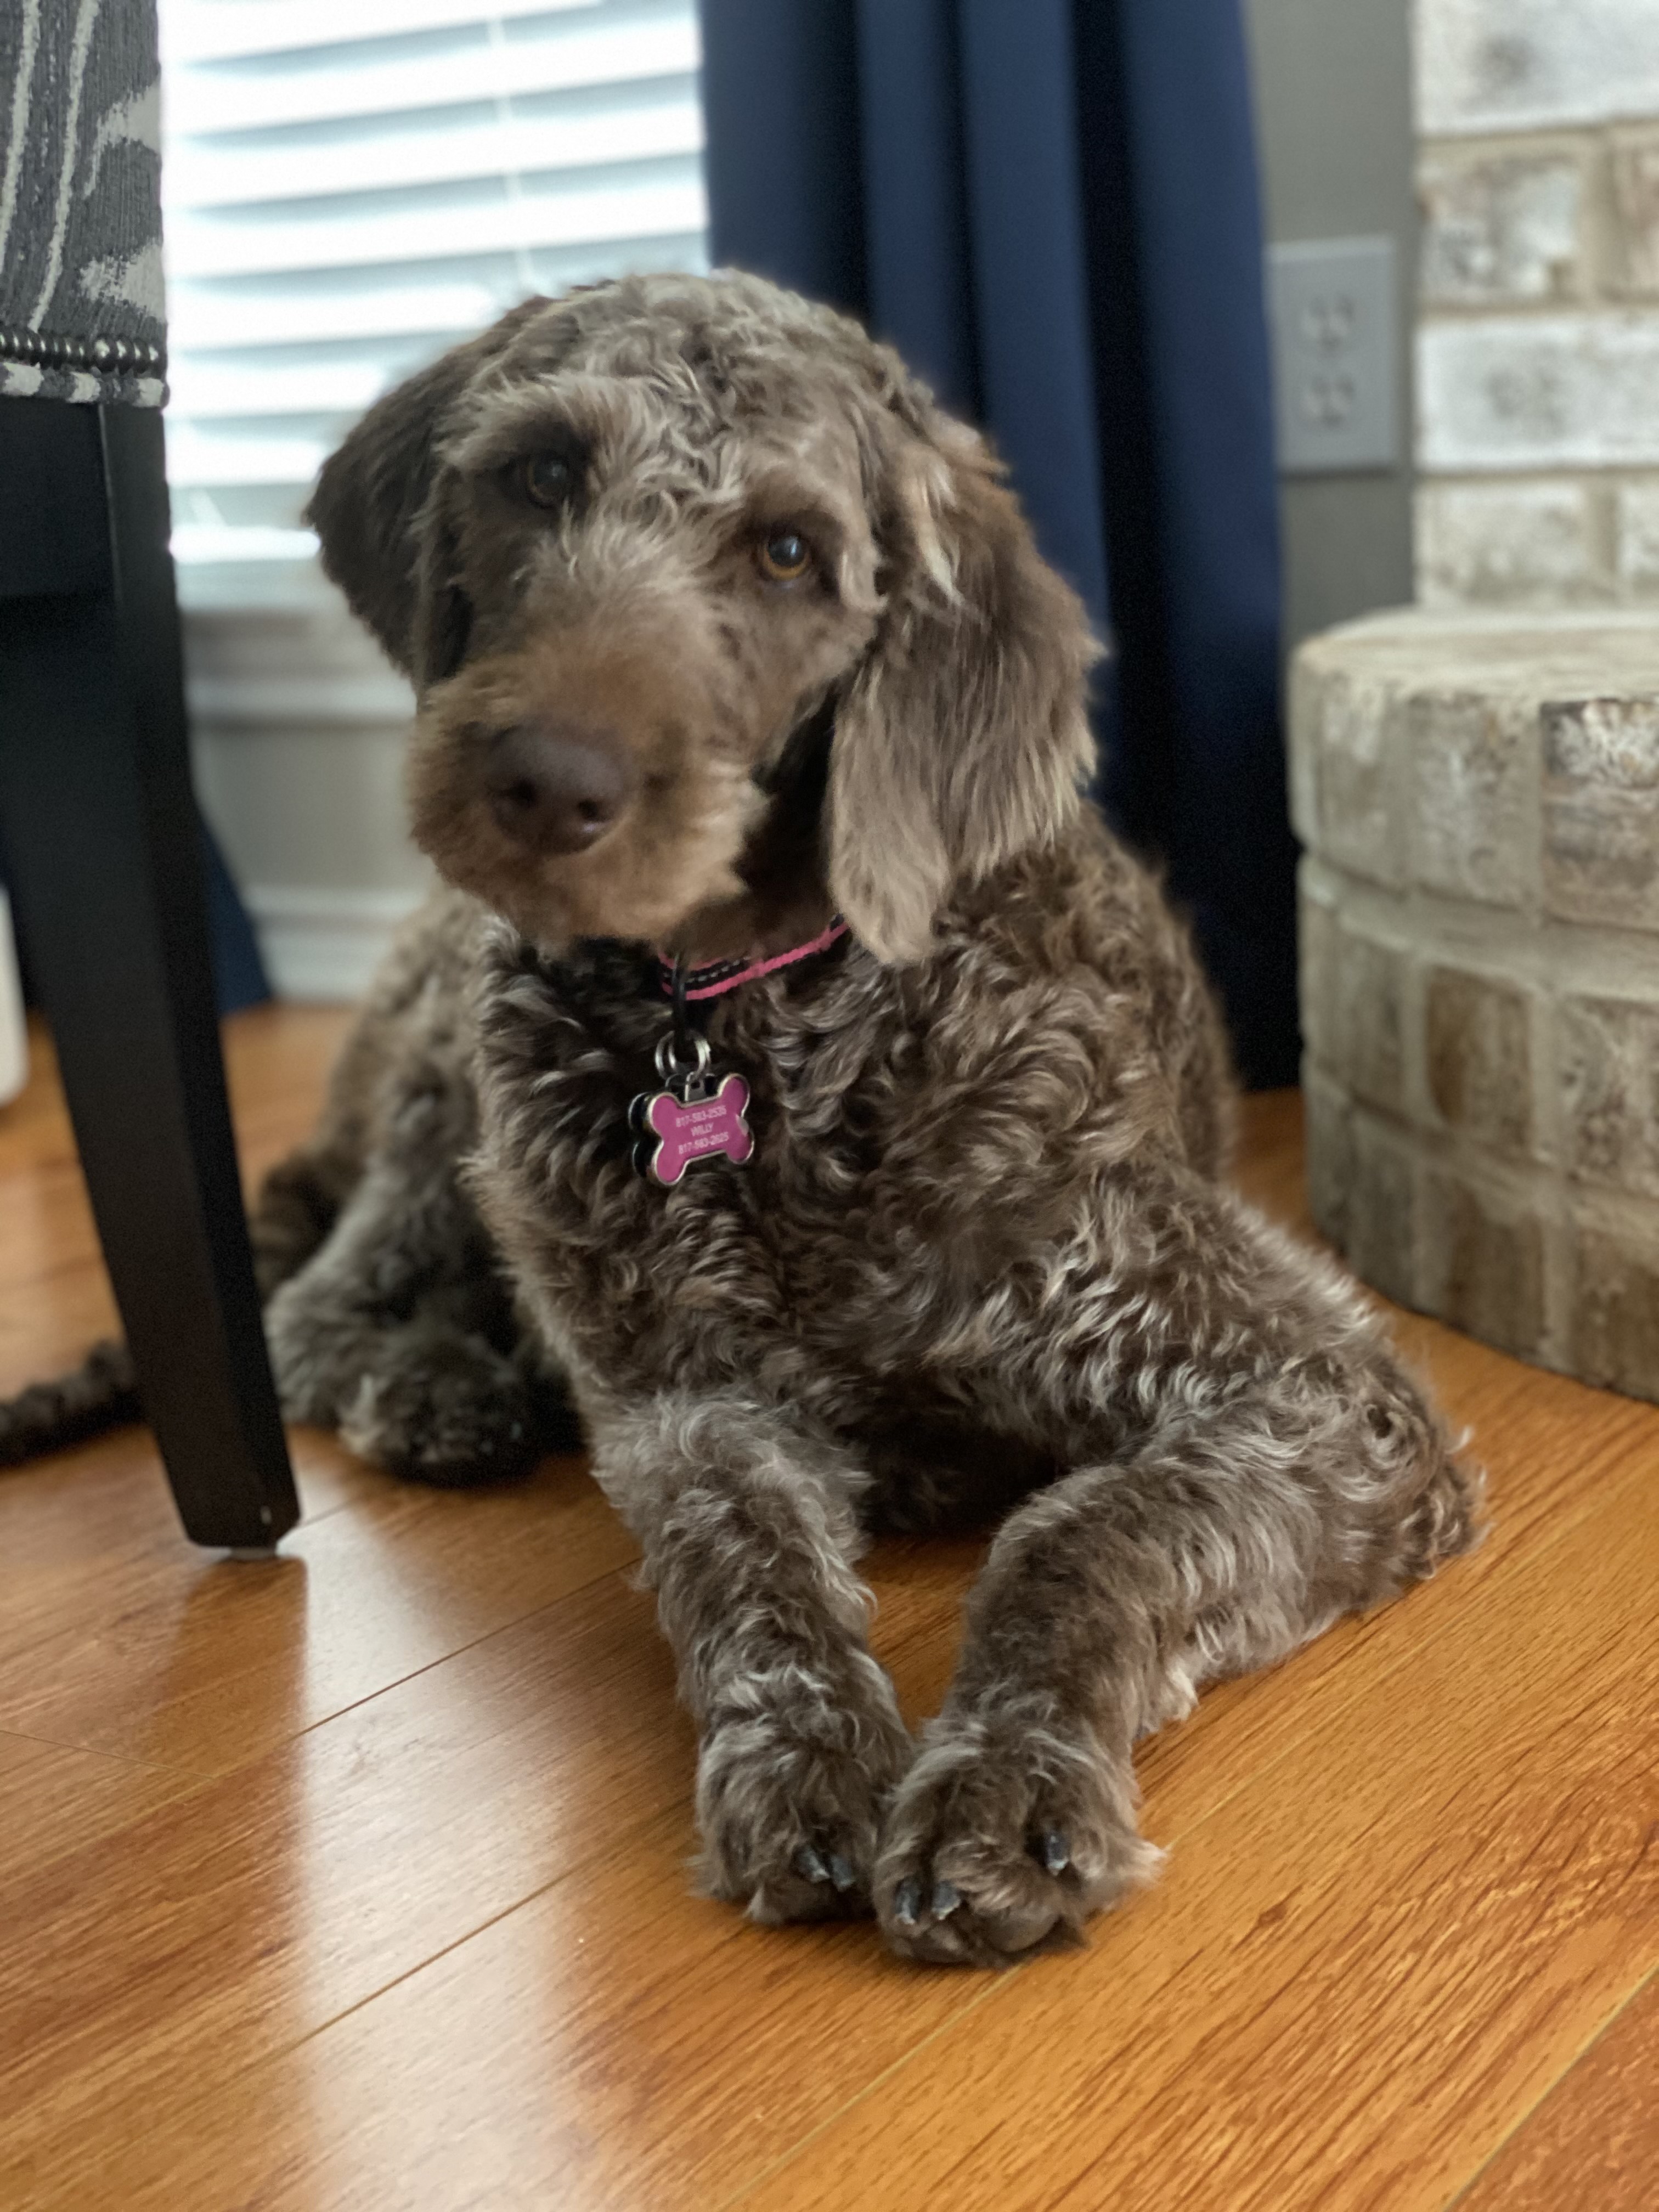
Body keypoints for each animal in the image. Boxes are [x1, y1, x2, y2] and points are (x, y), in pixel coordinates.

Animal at [8, 272, 1480, 1965]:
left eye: (787, 551)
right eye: (542, 475)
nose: (546, 780)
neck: (750, 1036)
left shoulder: (1326, 1394)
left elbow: (1079, 1537)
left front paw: (1007, 1774)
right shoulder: (686, 1402)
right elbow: (745, 1567)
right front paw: (806, 1757)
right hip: (462, 1130)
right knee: (314, 1312)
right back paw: (440, 1384)